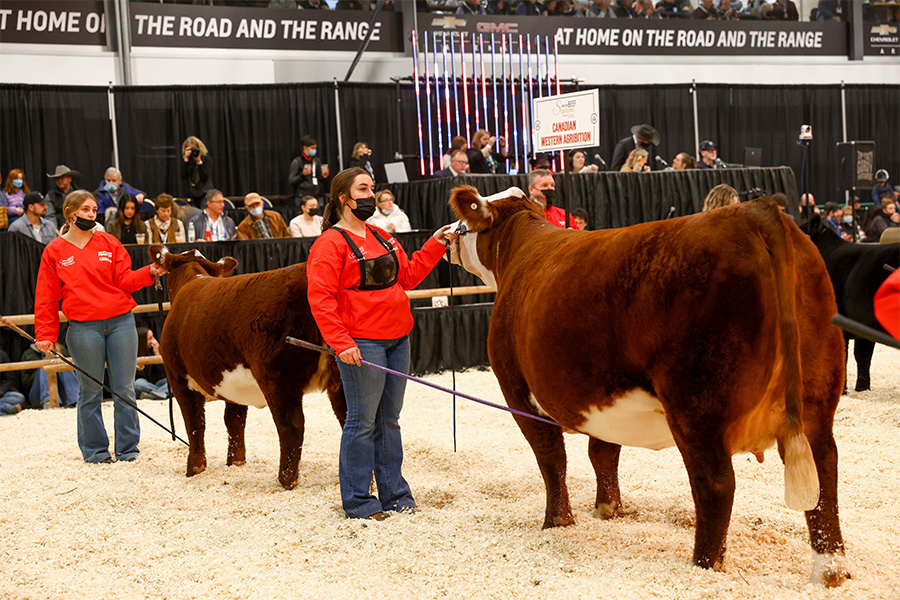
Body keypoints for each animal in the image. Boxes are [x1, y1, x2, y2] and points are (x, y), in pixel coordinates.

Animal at [149, 246, 346, 490]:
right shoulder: (232, 384)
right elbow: (234, 421)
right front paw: (235, 462)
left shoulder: (179, 380)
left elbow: (194, 423)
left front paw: (194, 468)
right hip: (341, 378)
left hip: (278, 377)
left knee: (292, 425)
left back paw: (286, 480)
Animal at [450, 186, 852, 584]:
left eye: (463, 224)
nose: (445, 235)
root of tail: (755, 212)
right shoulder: (602, 398)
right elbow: (603, 452)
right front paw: (608, 509)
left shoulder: (516, 388)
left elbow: (551, 458)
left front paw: (557, 522)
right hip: (816, 398)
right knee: (825, 474)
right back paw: (831, 570)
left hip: (697, 403)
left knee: (716, 483)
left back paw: (703, 565)